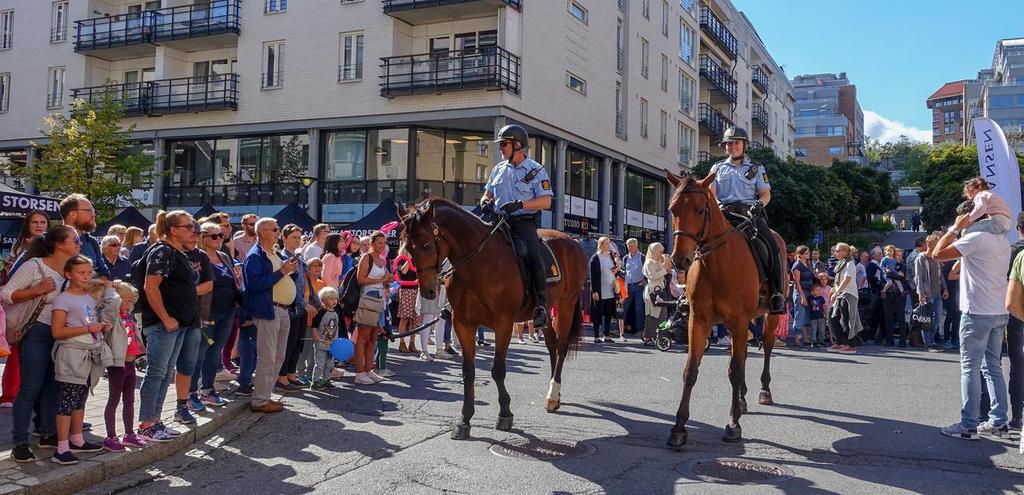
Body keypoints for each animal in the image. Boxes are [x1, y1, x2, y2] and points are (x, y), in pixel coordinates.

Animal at [395, 199, 585, 440]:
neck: (478, 264)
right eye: (407, 248)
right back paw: (555, 394)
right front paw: (464, 419)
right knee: (552, 344)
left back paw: (553, 395)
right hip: (548, 310)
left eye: (427, 245)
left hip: (567, 304)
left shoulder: (503, 322)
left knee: (561, 347)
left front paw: (505, 414)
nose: (428, 291)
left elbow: (498, 369)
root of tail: (571, 240)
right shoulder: (463, 323)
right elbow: (468, 372)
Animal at [663, 170, 782, 448]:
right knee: (743, 355)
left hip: (767, 317)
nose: (679, 259)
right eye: (673, 209)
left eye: (700, 209)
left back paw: (764, 390)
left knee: (766, 347)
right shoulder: (700, 321)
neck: (717, 262)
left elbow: (735, 371)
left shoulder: (737, 320)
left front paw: (734, 424)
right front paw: (679, 427)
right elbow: (691, 371)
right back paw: (742, 398)